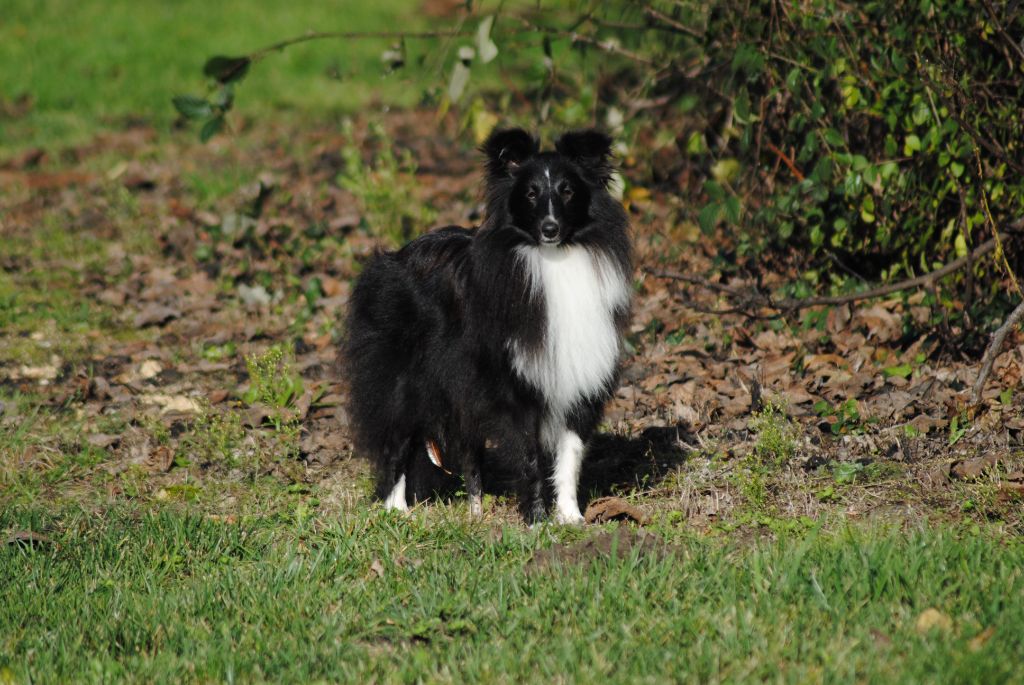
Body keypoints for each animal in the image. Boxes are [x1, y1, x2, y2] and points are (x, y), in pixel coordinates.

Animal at [346, 127, 630, 524]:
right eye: (530, 193)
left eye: (567, 190)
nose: (550, 228)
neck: (552, 259)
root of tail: (392, 258)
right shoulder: (514, 384)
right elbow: (528, 455)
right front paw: (536, 522)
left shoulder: (578, 377)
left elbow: (570, 453)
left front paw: (570, 518)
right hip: (407, 378)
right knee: (399, 438)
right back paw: (397, 509)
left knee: (468, 449)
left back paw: (475, 510)